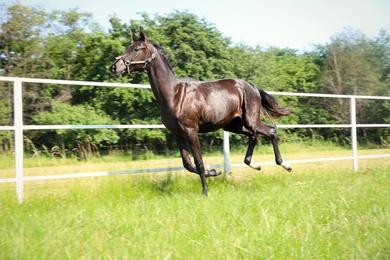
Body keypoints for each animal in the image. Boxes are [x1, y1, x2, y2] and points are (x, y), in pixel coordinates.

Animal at [110, 27, 292, 195]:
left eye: (135, 49)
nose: (114, 67)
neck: (174, 95)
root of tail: (252, 87)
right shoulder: (177, 134)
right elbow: (188, 164)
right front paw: (214, 171)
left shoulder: (191, 131)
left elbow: (198, 162)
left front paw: (205, 191)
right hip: (233, 125)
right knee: (254, 135)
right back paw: (254, 164)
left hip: (250, 120)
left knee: (271, 131)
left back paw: (285, 164)